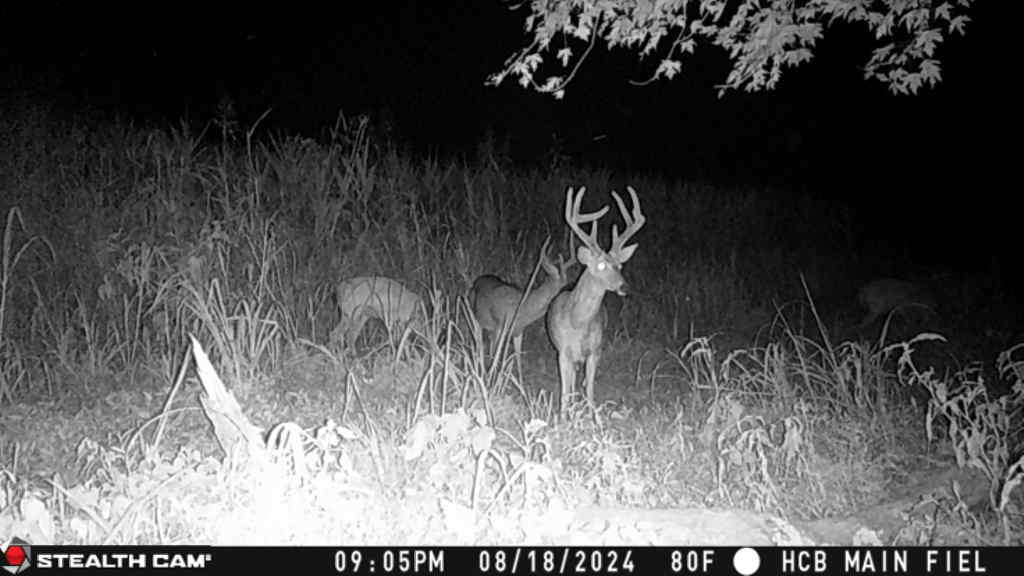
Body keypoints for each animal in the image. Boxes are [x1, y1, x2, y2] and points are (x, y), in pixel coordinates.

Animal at [470, 236, 576, 375]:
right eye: (560, 289)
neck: (523, 309)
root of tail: (476, 281)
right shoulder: (499, 325)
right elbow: (495, 356)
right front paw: (491, 376)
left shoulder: (518, 331)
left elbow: (518, 356)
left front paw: (519, 379)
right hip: (476, 317)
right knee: (478, 340)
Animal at [546, 185, 645, 419]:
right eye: (600, 266)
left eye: (620, 265)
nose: (624, 287)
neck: (578, 323)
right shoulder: (563, 352)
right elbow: (565, 392)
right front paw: (562, 419)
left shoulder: (595, 350)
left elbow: (590, 389)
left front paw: (595, 419)